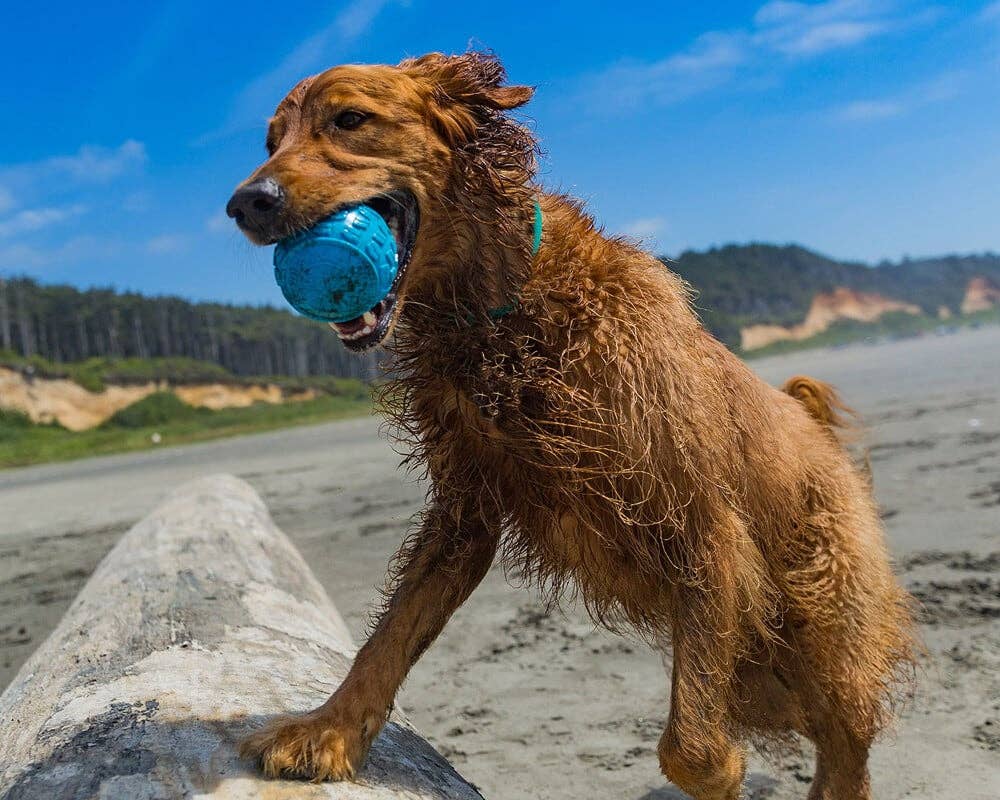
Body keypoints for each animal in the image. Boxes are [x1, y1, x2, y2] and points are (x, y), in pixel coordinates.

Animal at [227, 51, 916, 800]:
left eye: (350, 119)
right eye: (270, 142)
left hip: (823, 622)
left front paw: (724, 768)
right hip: (771, 664)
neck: (500, 310)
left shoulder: (703, 522)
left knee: (845, 739)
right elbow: (393, 633)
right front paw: (328, 728)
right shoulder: (466, 507)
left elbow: (691, 749)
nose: (246, 203)